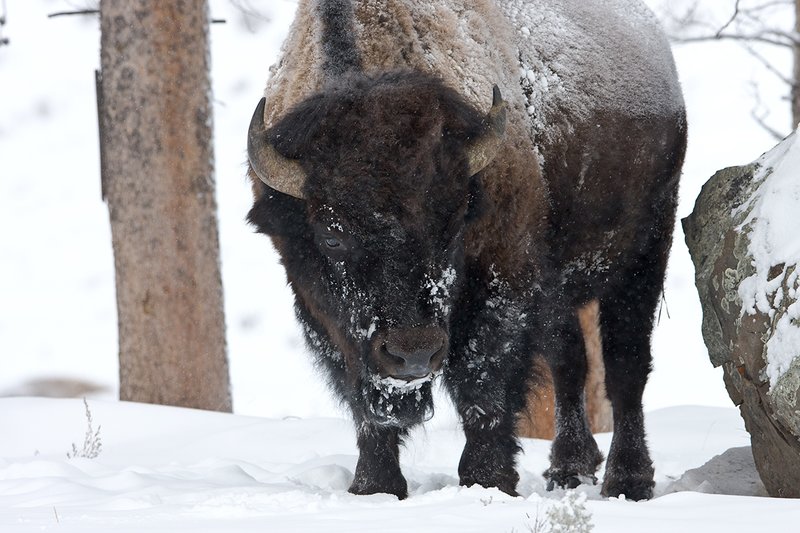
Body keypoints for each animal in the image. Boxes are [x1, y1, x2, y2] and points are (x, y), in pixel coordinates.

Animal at [246, 0, 686, 501]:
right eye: (331, 237)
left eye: (453, 226)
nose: (413, 354)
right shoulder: (320, 311)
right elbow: (363, 398)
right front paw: (375, 487)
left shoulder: (501, 282)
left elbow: (483, 384)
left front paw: (487, 481)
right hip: (561, 291)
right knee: (570, 363)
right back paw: (568, 469)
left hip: (645, 252)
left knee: (625, 365)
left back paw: (628, 479)